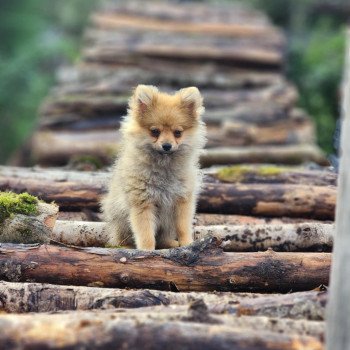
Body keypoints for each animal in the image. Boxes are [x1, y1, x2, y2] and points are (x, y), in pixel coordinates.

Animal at [100, 84, 205, 249]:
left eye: (177, 133)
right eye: (155, 131)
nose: (167, 145)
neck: (163, 167)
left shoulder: (182, 201)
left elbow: (183, 227)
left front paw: (187, 244)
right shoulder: (142, 203)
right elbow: (146, 232)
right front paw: (147, 250)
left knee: (163, 238)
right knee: (122, 239)